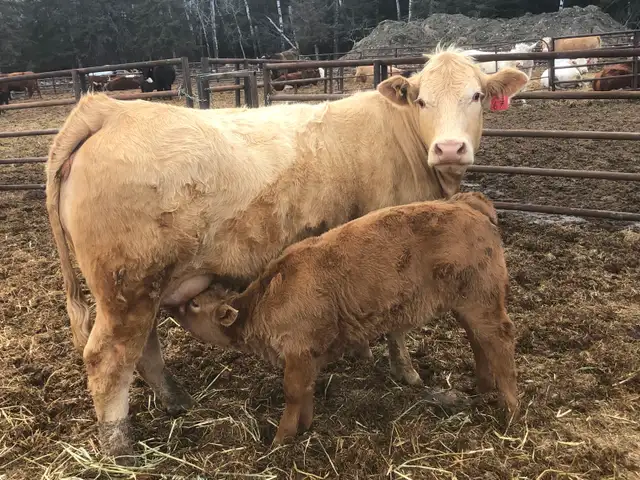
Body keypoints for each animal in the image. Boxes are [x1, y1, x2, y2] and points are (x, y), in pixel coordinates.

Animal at [169, 192, 517, 445]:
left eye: (195, 304)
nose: (172, 305)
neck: (269, 298)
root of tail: (465, 203)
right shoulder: (310, 355)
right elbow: (306, 391)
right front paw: (304, 427)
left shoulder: (297, 351)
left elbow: (292, 393)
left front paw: (280, 440)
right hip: (467, 303)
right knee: (478, 340)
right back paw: (483, 387)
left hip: (482, 299)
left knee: (500, 340)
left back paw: (511, 408)